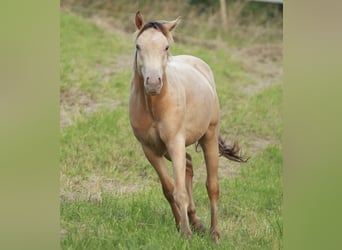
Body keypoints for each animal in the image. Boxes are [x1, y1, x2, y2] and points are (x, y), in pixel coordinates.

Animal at [129, 11, 246, 242]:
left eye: (166, 47)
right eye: (138, 46)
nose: (153, 83)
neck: (154, 106)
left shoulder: (175, 143)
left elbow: (180, 191)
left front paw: (185, 234)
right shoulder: (150, 150)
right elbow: (169, 189)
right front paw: (180, 225)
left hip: (209, 136)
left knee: (212, 186)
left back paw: (214, 233)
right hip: (168, 149)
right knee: (189, 165)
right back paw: (196, 221)